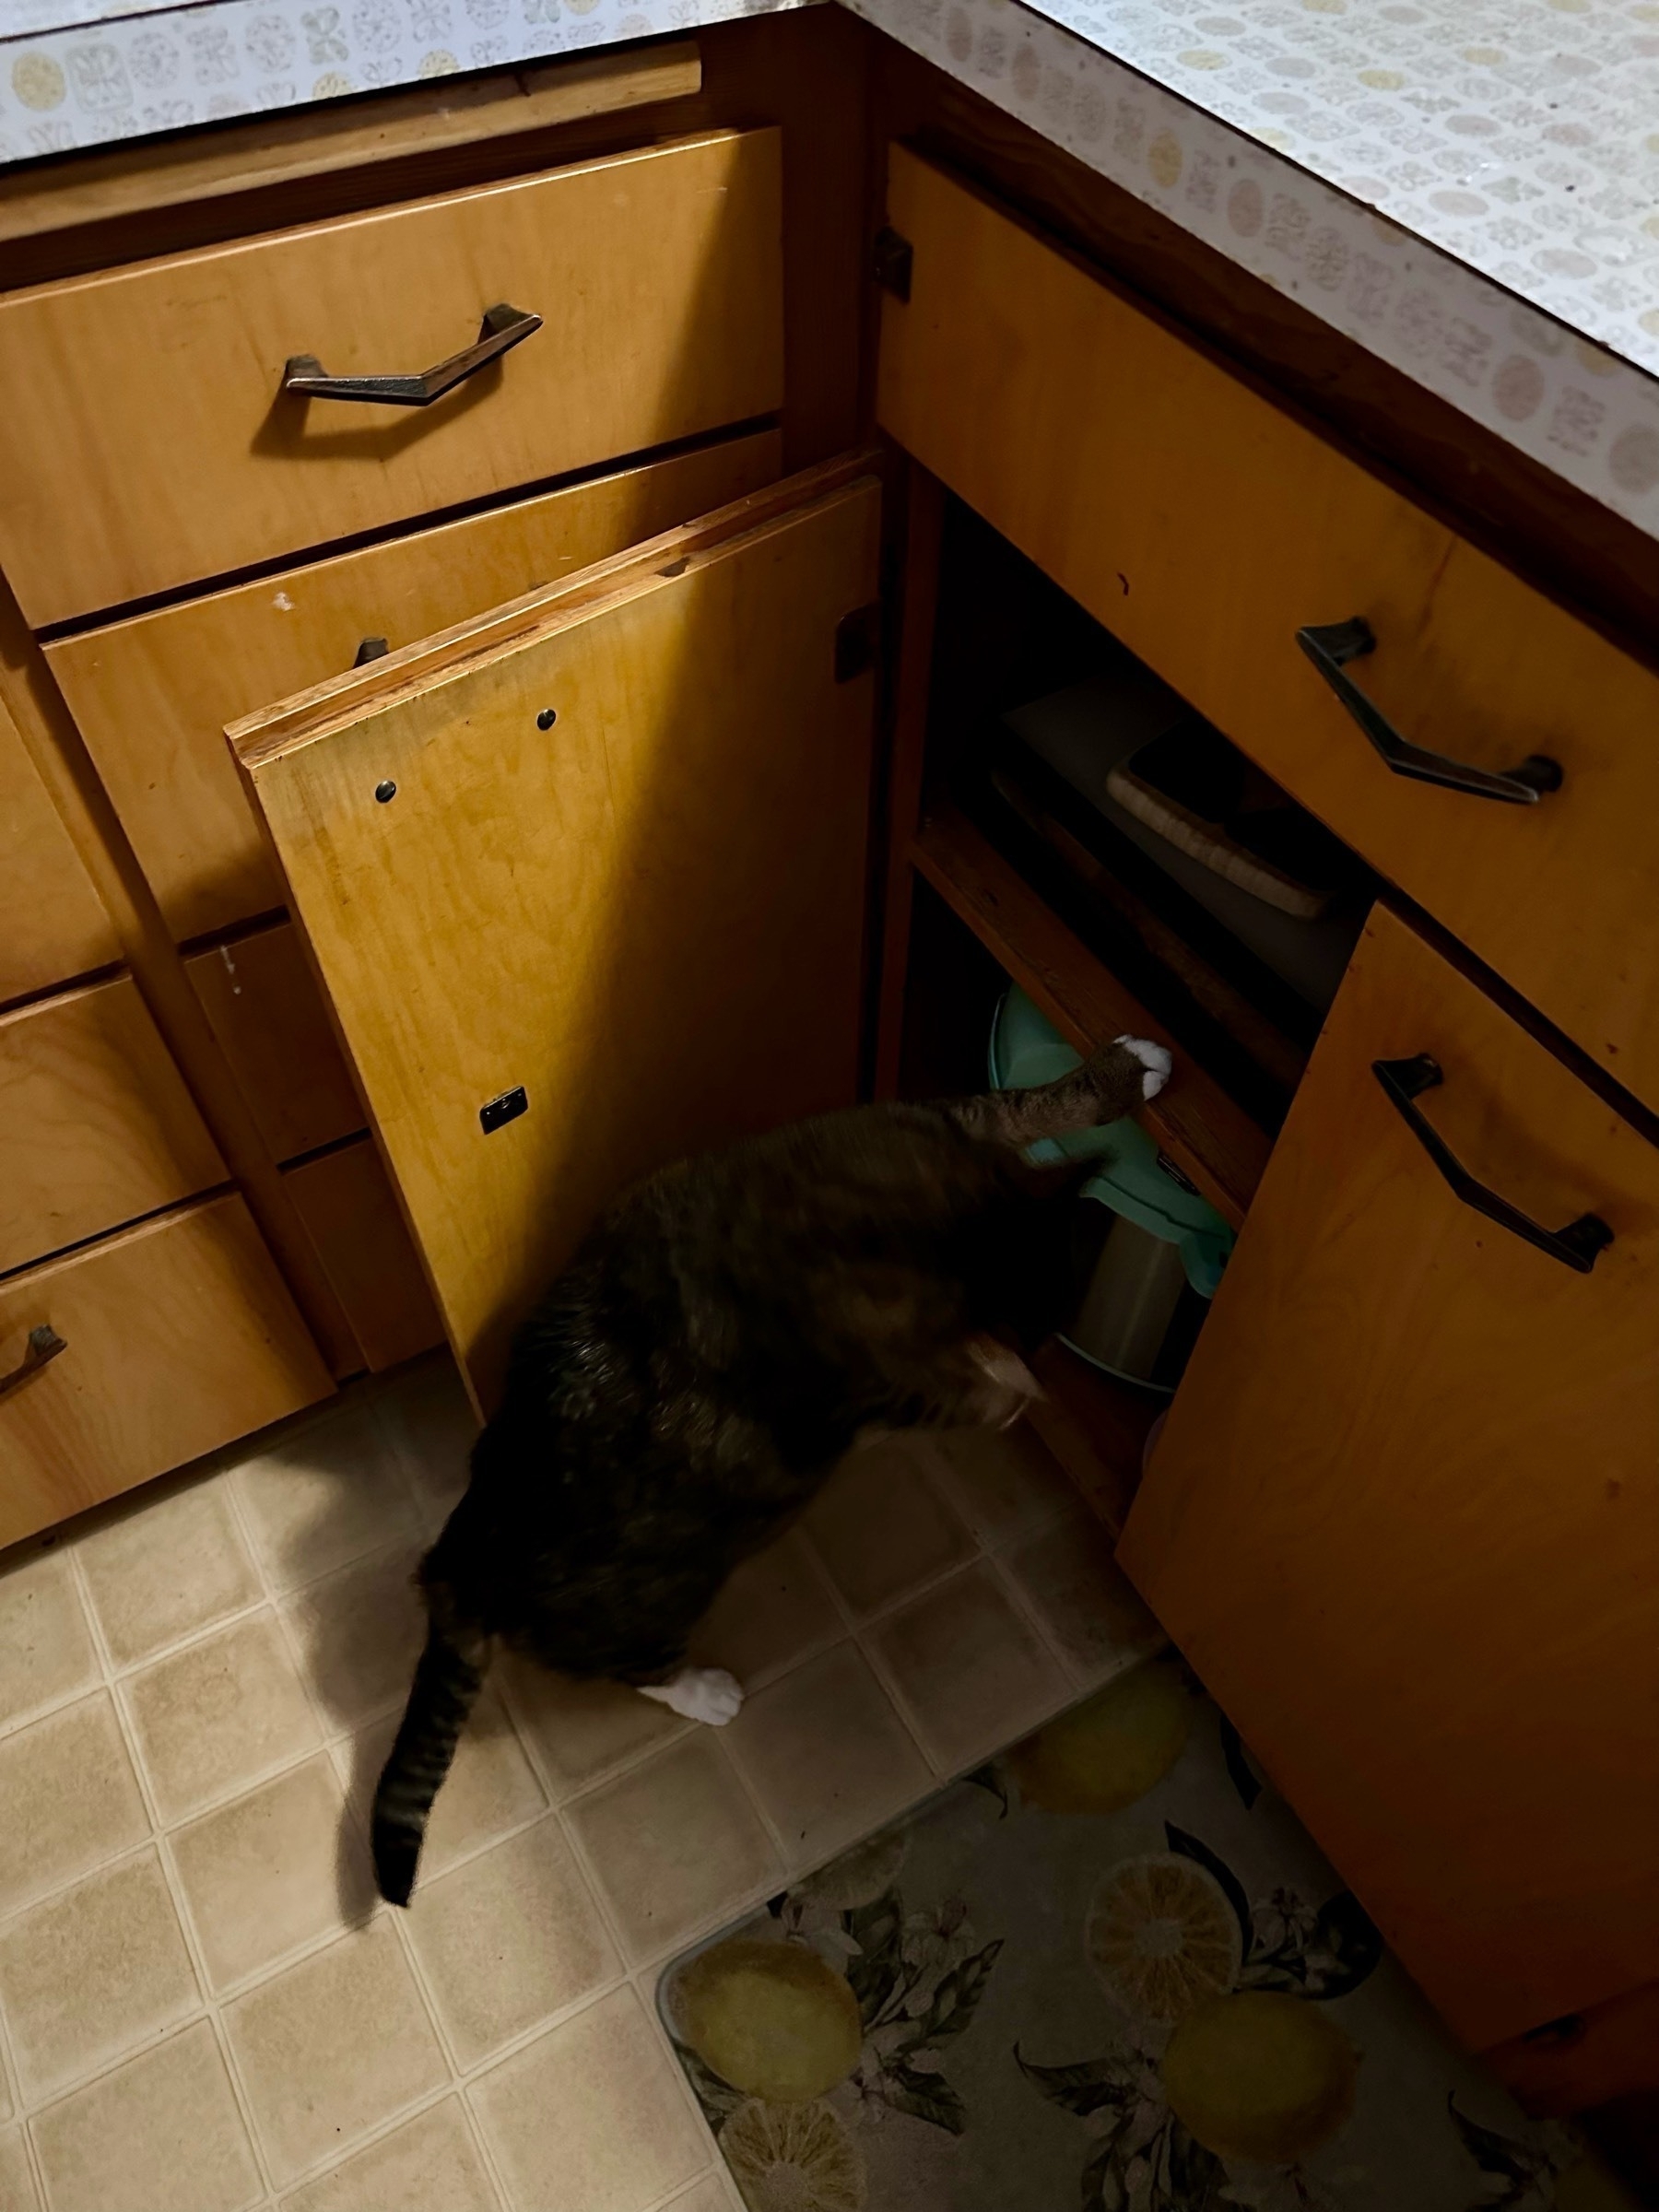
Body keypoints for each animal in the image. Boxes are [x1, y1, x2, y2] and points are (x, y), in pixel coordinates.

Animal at [369, 1035, 1176, 1902]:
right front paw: (1010, 1395)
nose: (1042, 1358)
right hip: (658, 1594)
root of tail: (461, 1557)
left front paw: (1130, 1071)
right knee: (621, 1663)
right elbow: (956, 1392)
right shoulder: (881, 1380)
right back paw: (703, 1691)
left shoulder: (930, 1125)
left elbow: (1024, 1106)